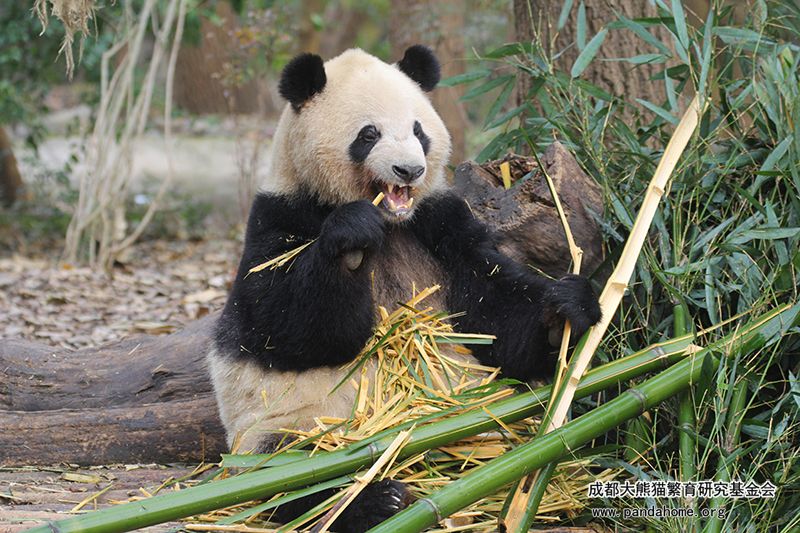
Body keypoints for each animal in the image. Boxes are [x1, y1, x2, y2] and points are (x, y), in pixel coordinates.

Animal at [208, 45, 601, 532]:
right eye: (369, 134)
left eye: (419, 131)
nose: (409, 170)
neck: (392, 224)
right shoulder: (277, 219)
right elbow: (281, 325)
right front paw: (352, 239)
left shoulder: (442, 225)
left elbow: (494, 313)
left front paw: (566, 308)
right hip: (286, 426)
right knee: (292, 470)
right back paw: (376, 499)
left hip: (487, 409)